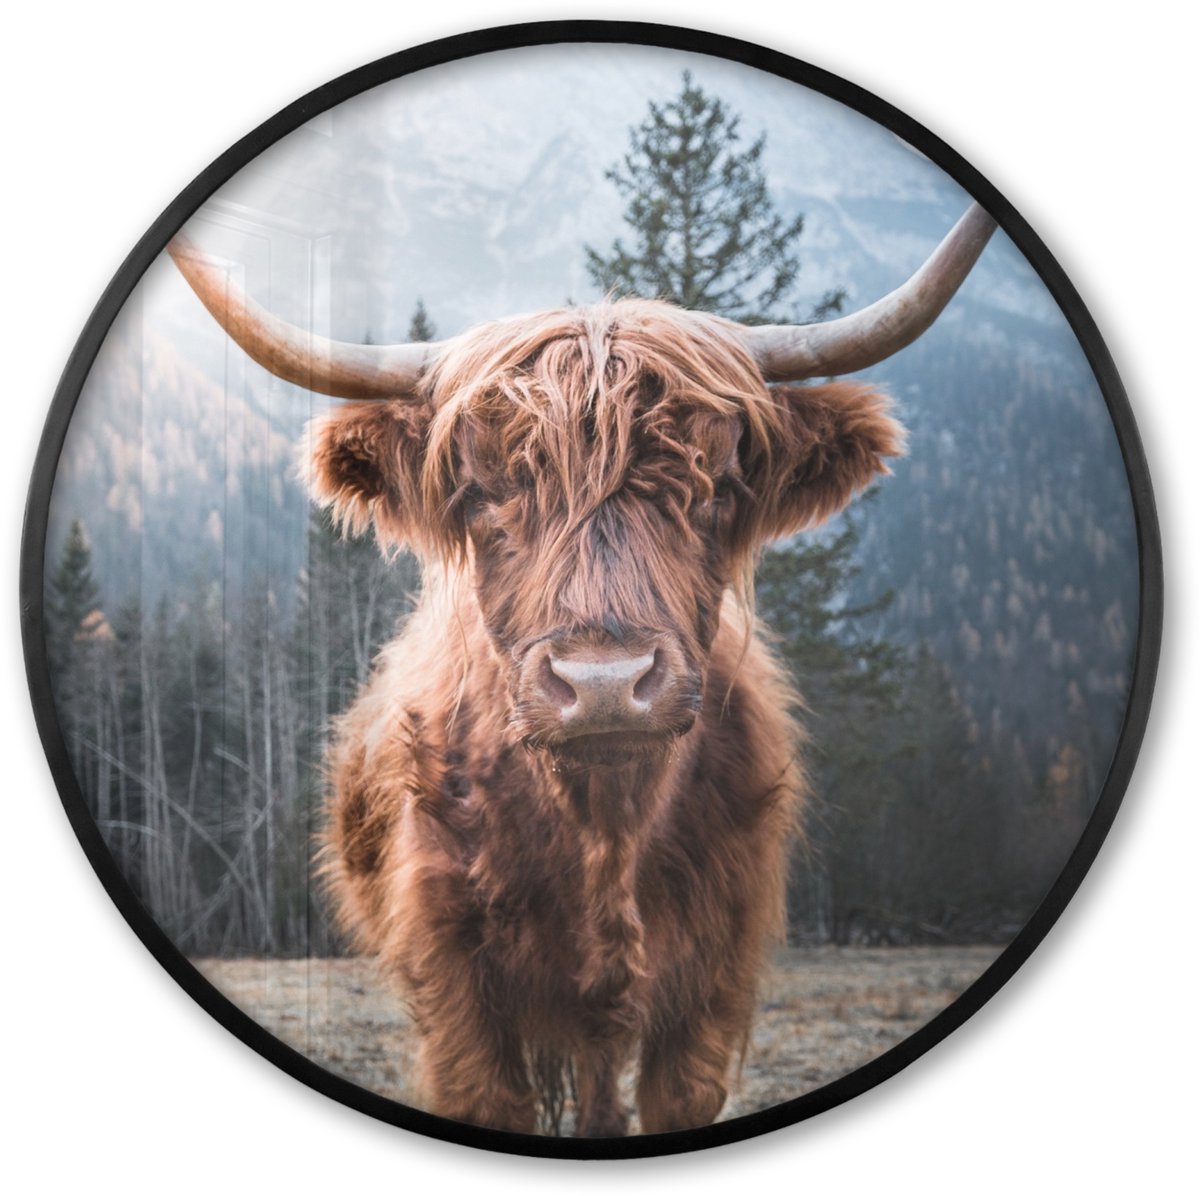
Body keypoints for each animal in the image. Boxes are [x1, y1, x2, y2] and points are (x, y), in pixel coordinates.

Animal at [169, 204, 995, 1137]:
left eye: (717, 486)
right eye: (482, 493)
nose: (604, 684)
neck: (604, 828)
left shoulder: (713, 984)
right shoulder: (455, 987)